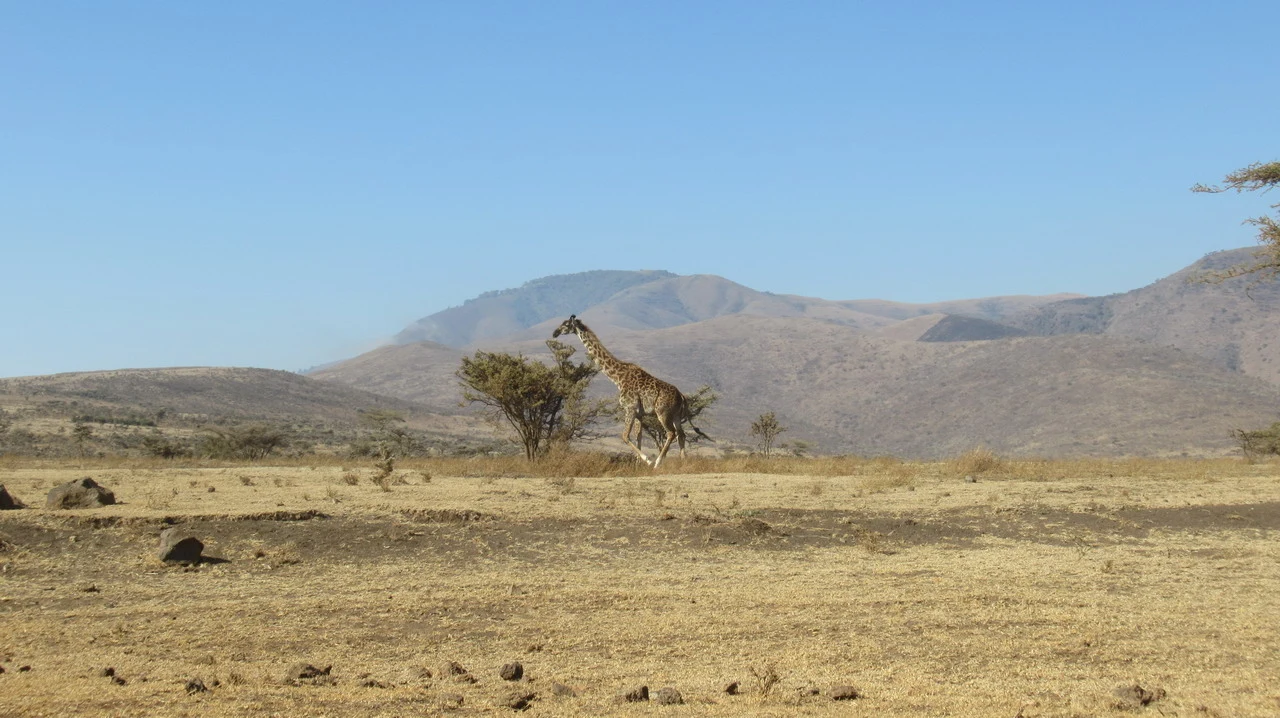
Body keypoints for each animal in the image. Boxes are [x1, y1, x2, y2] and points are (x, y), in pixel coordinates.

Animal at [552, 315, 711, 468]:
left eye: (566, 324)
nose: (555, 333)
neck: (618, 377)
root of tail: (682, 397)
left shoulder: (630, 408)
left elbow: (624, 436)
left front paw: (647, 460)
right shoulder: (639, 413)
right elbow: (637, 436)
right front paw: (638, 464)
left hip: (663, 413)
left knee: (671, 433)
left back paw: (658, 463)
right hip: (676, 415)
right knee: (681, 435)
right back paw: (684, 462)